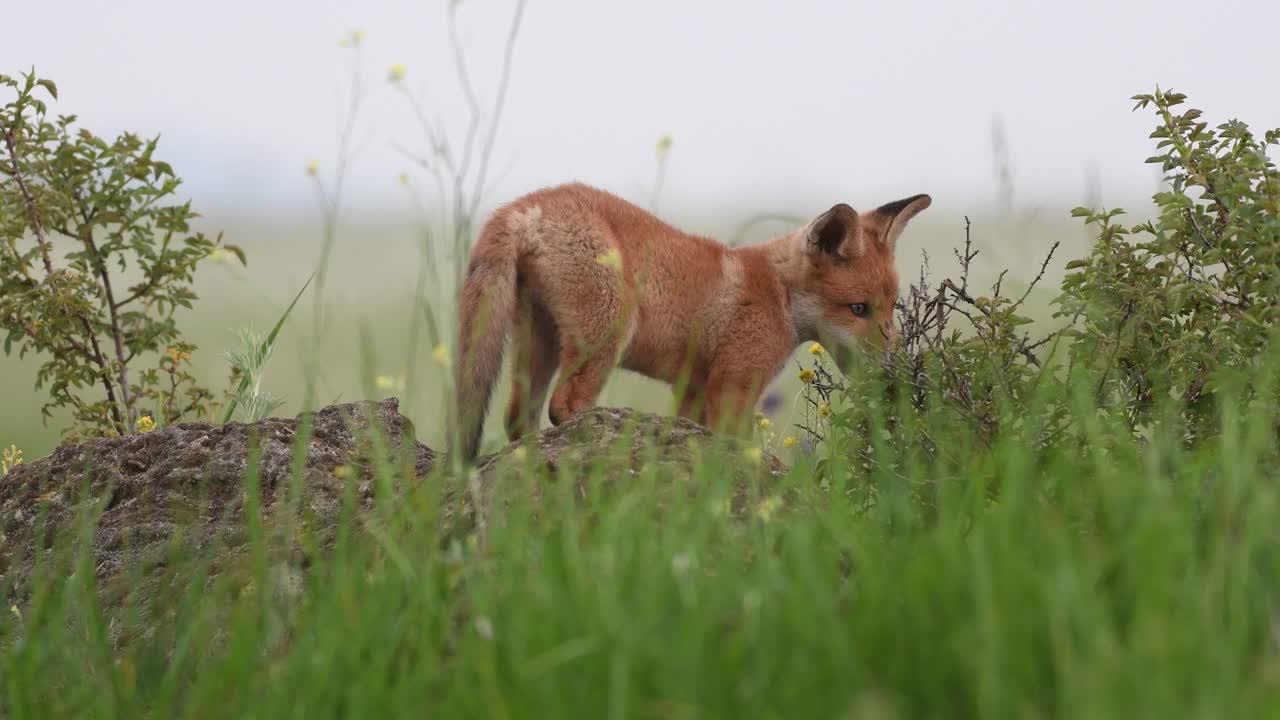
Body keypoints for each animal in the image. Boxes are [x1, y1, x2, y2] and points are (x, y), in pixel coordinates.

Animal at [453, 181, 931, 456]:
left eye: (891, 308)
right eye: (858, 309)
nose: (892, 368)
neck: (777, 292)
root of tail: (523, 204)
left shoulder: (694, 390)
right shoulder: (734, 386)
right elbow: (736, 447)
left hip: (540, 342)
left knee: (519, 416)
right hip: (607, 332)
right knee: (564, 405)